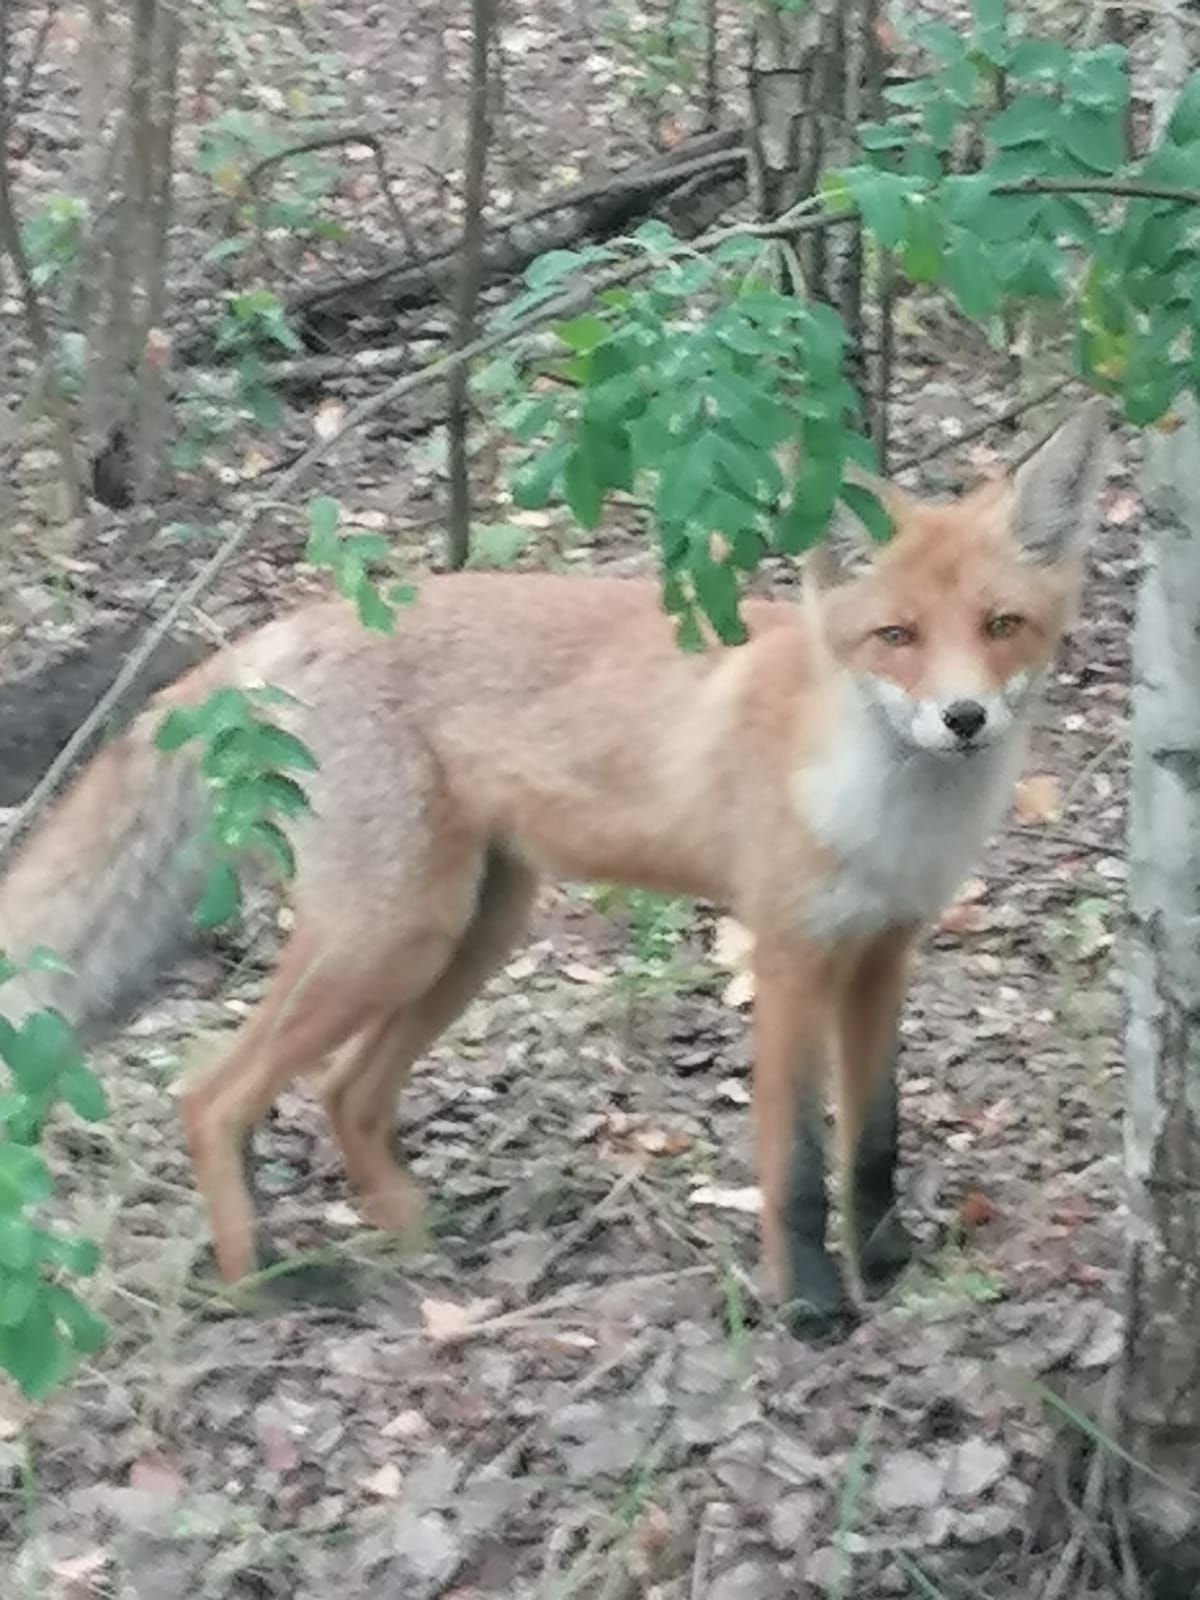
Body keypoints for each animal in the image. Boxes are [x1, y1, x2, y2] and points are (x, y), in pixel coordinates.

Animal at [0, 400, 1107, 1337]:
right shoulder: (789, 957)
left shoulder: (883, 954)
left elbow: (874, 1142)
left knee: (345, 1091)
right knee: (211, 1096)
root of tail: (286, 627)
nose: (963, 718)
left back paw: (416, 1238)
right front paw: (811, 1305)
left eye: (1001, 627)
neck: (878, 809)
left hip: (471, 930)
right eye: (897, 636)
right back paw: (264, 1283)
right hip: (389, 934)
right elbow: (794, 1165)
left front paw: (885, 1263)